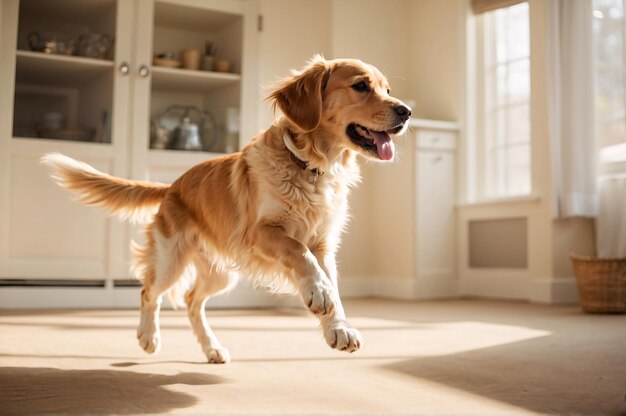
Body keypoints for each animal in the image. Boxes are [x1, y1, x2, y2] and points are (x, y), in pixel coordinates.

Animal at [45, 56, 414, 364]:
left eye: (387, 90)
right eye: (361, 86)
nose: (407, 111)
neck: (310, 167)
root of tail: (173, 185)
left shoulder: (323, 245)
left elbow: (331, 284)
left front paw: (339, 328)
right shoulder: (262, 233)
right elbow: (300, 253)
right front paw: (318, 293)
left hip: (221, 273)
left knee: (192, 301)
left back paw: (212, 348)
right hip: (171, 260)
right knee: (149, 292)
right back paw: (149, 337)